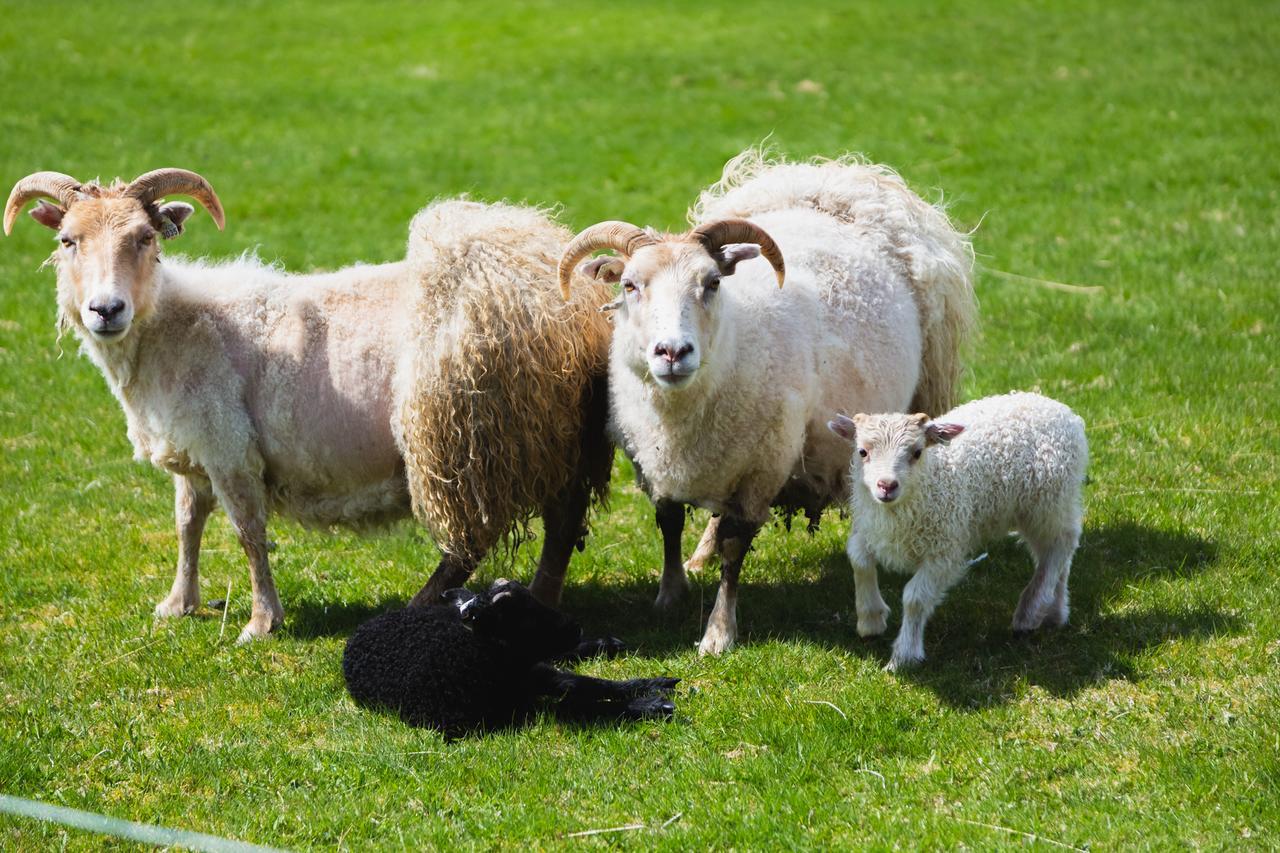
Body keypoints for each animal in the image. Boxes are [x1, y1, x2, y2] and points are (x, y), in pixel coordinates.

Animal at [3, 169, 614, 640]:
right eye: (67, 241)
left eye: (144, 238)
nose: (106, 310)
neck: (174, 329)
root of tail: (573, 297)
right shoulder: (195, 453)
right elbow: (186, 525)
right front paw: (179, 603)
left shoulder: (231, 452)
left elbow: (249, 536)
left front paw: (260, 623)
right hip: (550, 435)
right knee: (560, 522)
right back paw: (538, 599)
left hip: (469, 428)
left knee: (481, 536)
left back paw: (442, 603)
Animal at [340, 573, 680, 732]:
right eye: (523, 616)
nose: (576, 628)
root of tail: (367, 624)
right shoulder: (517, 709)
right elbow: (577, 705)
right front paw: (651, 705)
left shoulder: (533, 678)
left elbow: (592, 685)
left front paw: (653, 687)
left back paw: (605, 645)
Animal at [555, 149, 972, 650]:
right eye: (629, 286)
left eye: (713, 283)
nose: (673, 352)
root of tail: (844, 178)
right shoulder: (652, 459)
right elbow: (669, 523)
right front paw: (671, 592)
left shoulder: (763, 466)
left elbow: (735, 551)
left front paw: (719, 632)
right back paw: (700, 555)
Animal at [829, 389, 1090, 666]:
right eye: (862, 452)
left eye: (917, 452)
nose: (887, 486)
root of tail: (1059, 409)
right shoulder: (868, 531)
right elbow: (859, 562)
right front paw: (871, 620)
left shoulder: (944, 551)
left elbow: (914, 598)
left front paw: (905, 653)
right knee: (1054, 556)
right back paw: (1054, 613)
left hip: (1050, 502)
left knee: (1061, 546)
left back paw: (1031, 611)